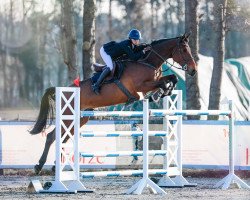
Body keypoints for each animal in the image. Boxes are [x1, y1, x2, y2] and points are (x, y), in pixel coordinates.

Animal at [29, 33, 197, 175]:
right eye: (184, 49)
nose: (194, 70)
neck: (148, 62)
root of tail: (64, 90)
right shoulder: (141, 87)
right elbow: (163, 82)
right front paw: (160, 94)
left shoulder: (152, 83)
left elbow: (171, 79)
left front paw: (164, 92)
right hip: (68, 116)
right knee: (51, 136)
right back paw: (39, 166)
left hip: (80, 118)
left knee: (63, 138)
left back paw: (55, 166)